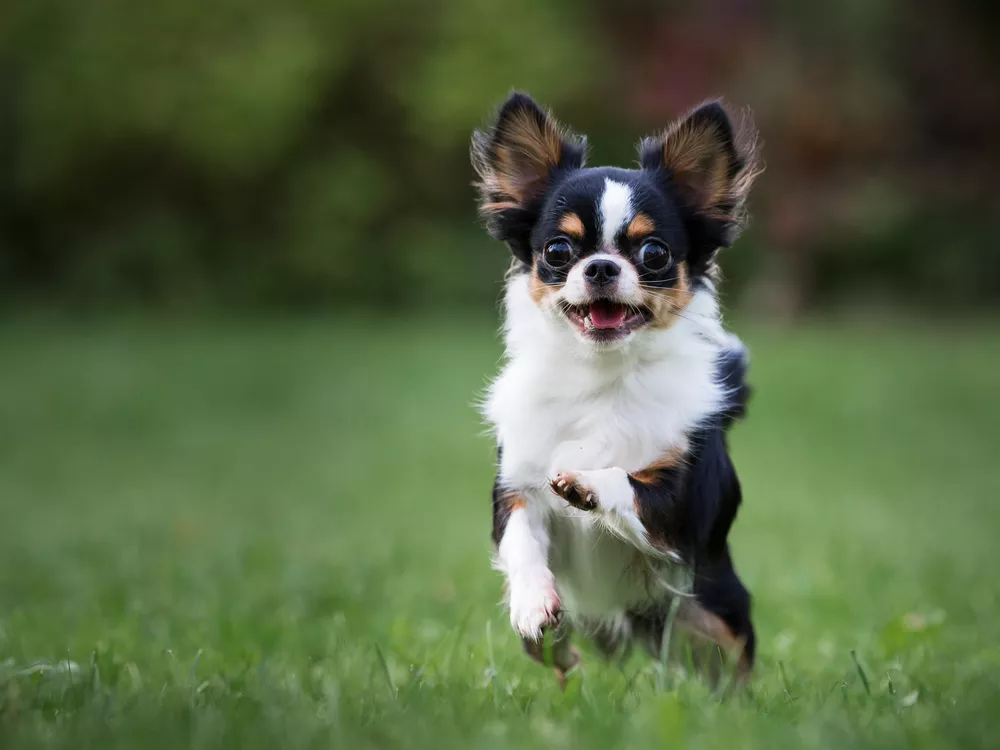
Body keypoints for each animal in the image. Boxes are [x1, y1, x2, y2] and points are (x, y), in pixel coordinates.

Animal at [472, 91, 760, 684]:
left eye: (653, 254)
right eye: (558, 251)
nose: (601, 266)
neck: (600, 376)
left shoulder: (679, 505)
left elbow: (630, 483)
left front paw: (586, 483)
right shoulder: (517, 487)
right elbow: (521, 540)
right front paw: (533, 602)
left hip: (714, 608)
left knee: (733, 663)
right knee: (553, 651)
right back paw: (559, 646)